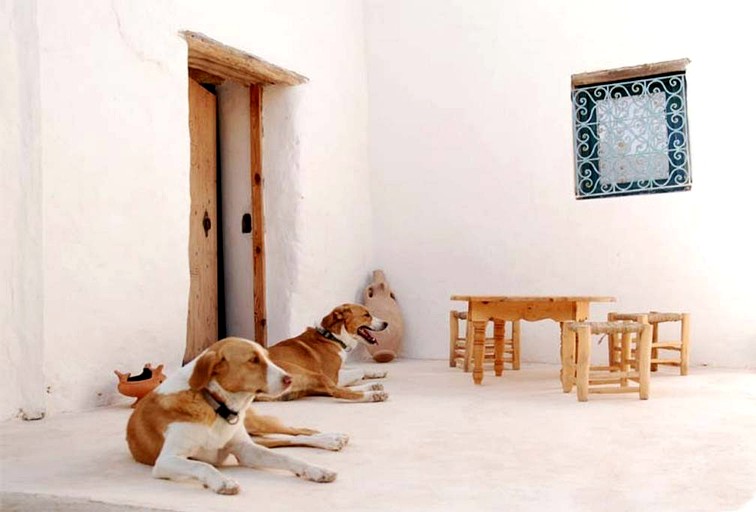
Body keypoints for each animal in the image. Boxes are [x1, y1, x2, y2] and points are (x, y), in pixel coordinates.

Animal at [127, 338, 340, 494]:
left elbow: (287, 458)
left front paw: (316, 470)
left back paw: (331, 439)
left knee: (297, 432)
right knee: (283, 439)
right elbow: (202, 466)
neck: (215, 406)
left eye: (267, 357)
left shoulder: (246, 450)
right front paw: (222, 482)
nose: (291, 379)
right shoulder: (165, 461)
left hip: (256, 426)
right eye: (253, 360)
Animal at [260, 302, 390, 402]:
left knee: (335, 390)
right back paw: (375, 394)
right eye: (366, 315)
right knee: (337, 392)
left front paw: (377, 372)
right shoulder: (334, 376)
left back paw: (374, 386)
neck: (331, 337)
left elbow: (360, 369)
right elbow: (359, 370)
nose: (386, 323)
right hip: (313, 374)